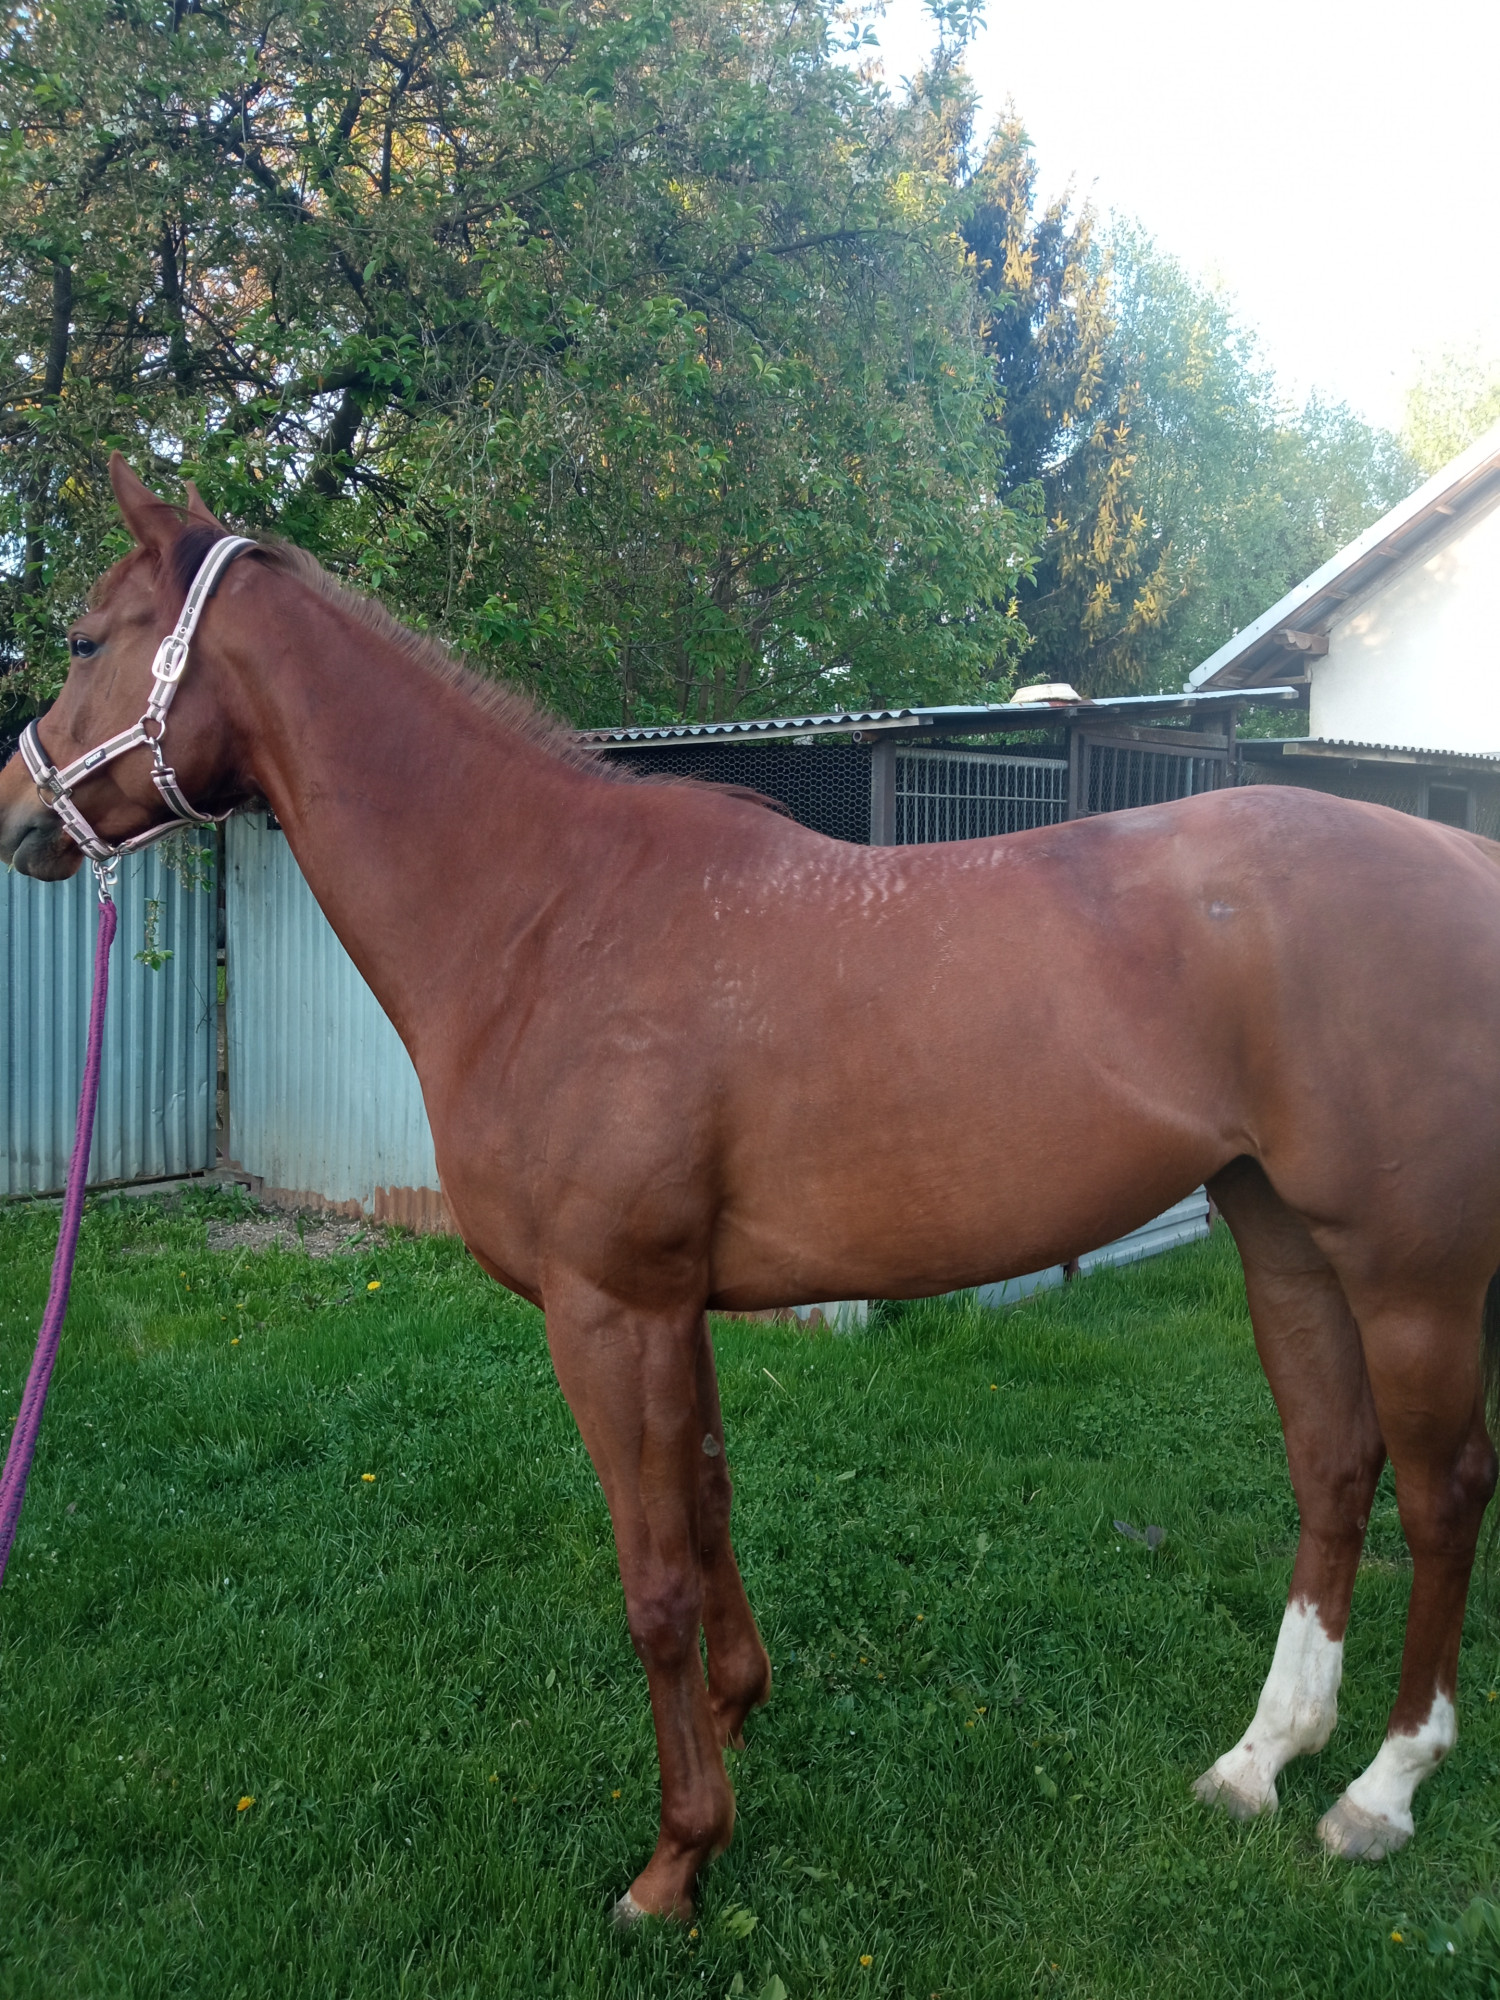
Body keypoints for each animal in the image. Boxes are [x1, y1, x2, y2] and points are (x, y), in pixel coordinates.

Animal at [4, 454, 1499, 1921]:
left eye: (82, 637)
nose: (18, 807)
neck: (548, 918)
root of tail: (1461, 859)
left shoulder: (607, 1310)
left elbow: (654, 1576)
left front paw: (677, 1856)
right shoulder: (678, 1308)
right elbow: (713, 1511)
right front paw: (734, 1717)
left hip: (1411, 1273)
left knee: (1443, 1491)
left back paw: (1380, 1792)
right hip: (1285, 1239)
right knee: (1333, 1465)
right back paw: (1259, 1761)